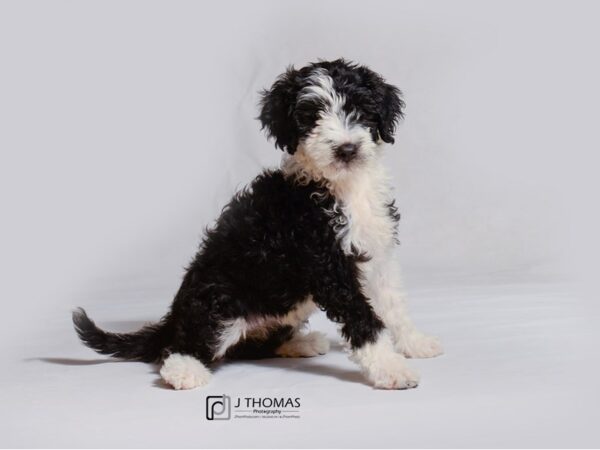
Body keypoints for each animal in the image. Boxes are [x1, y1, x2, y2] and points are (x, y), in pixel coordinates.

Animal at [72, 59, 442, 390]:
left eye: (360, 110)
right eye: (311, 117)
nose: (347, 149)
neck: (343, 186)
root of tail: (173, 319)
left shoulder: (378, 253)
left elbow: (392, 304)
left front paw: (414, 343)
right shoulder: (327, 264)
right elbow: (363, 318)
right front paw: (392, 369)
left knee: (253, 346)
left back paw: (302, 343)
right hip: (218, 301)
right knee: (180, 347)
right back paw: (184, 371)